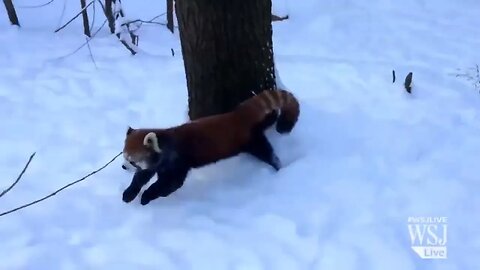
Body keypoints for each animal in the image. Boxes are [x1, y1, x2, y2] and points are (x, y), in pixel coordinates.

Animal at [122, 88, 298, 205]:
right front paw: (129, 193)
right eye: (124, 157)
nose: (123, 167)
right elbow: (141, 177)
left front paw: (148, 195)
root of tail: (237, 115)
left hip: (252, 140)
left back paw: (277, 166)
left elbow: (171, 183)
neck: (165, 145)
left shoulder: (178, 161)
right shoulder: (156, 164)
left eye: (132, 161)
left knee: (267, 153)